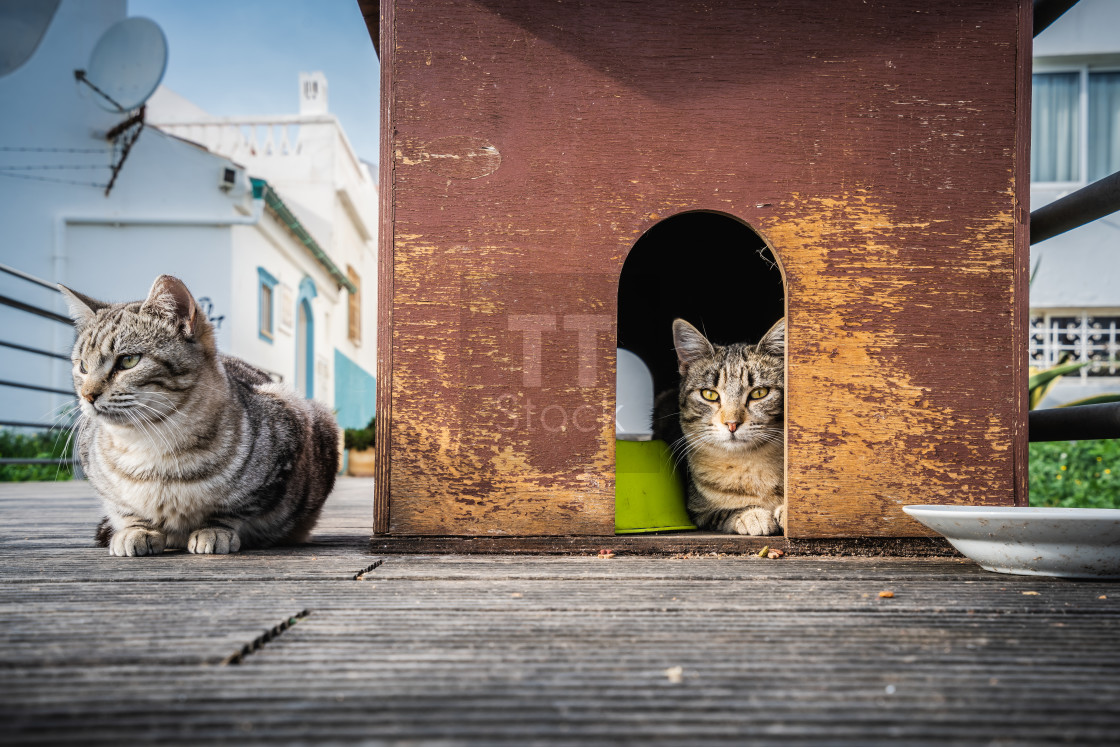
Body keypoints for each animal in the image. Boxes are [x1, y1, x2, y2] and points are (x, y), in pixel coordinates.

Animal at [59, 274, 338, 555]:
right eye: (83, 367)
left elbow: (231, 508)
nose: (87, 395)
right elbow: (125, 508)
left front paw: (214, 530)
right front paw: (137, 530)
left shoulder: (285, 437)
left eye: (128, 360)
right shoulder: (100, 477)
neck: (151, 446)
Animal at [667, 318, 784, 535]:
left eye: (759, 393)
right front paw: (751, 514)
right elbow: (722, 512)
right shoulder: (698, 512)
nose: (732, 424)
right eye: (709, 394)